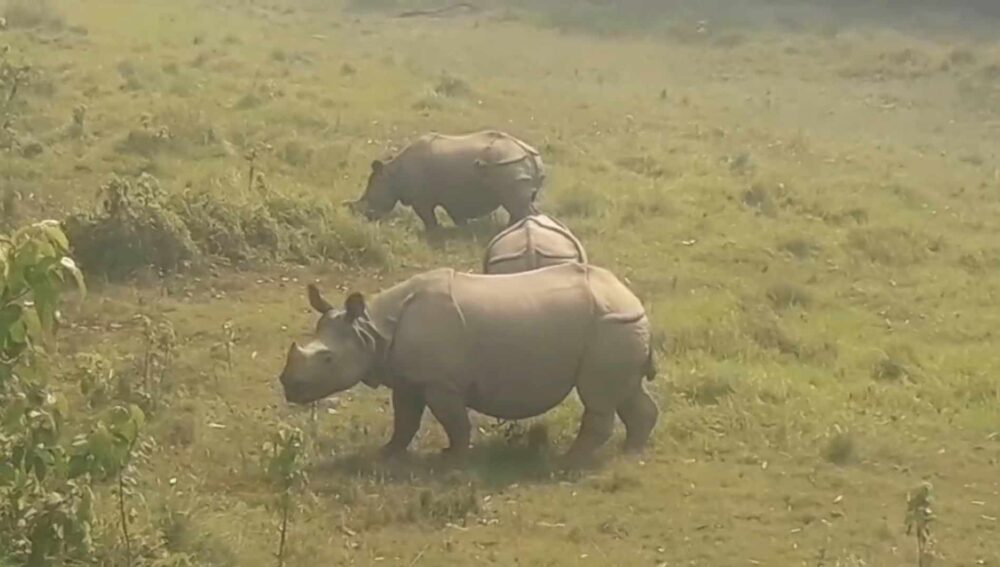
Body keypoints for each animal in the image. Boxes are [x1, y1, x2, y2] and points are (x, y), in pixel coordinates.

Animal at [277, 263, 658, 465]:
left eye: (327, 359)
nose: (287, 387)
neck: (370, 328)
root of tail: (632, 299)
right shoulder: (409, 377)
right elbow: (405, 419)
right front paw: (387, 454)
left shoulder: (441, 382)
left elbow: (454, 421)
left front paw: (452, 459)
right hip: (619, 324)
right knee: (626, 392)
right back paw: (632, 452)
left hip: (609, 324)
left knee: (598, 396)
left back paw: (568, 463)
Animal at [347, 130, 546, 231]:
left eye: (369, 198)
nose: (367, 219)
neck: (392, 174)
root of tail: (530, 153)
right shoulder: (453, 196)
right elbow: (457, 216)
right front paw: (461, 232)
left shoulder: (421, 199)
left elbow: (428, 217)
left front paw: (433, 233)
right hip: (513, 164)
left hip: (509, 163)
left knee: (516, 204)